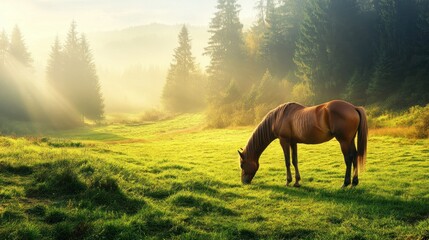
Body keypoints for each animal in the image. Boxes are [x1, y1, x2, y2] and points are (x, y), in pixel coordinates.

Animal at [236, 99, 366, 188]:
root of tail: (354, 107)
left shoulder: (284, 141)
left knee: (348, 159)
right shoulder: (293, 142)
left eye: (242, 165)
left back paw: (345, 183)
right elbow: (294, 161)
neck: (278, 117)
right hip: (350, 140)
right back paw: (354, 183)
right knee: (355, 156)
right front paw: (297, 182)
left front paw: (288, 181)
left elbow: (287, 162)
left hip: (344, 141)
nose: (244, 182)